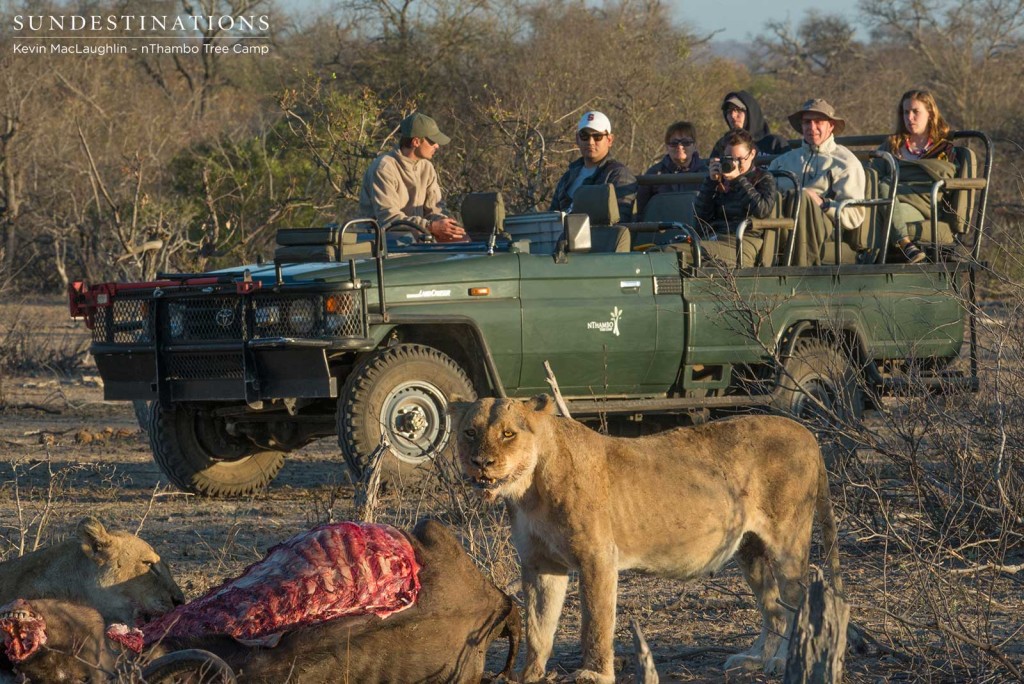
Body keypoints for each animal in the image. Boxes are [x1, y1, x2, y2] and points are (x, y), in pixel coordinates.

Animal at [452, 395, 843, 684]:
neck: (529, 490)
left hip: (787, 539)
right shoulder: (540, 564)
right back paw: (754, 659)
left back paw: (783, 664)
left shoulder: (598, 557)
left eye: (507, 434)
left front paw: (594, 674)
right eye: (469, 432)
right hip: (749, 549)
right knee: (773, 608)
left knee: (795, 602)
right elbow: (538, 626)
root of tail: (807, 432)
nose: (481, 462)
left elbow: (595, 623)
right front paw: (529, 674)